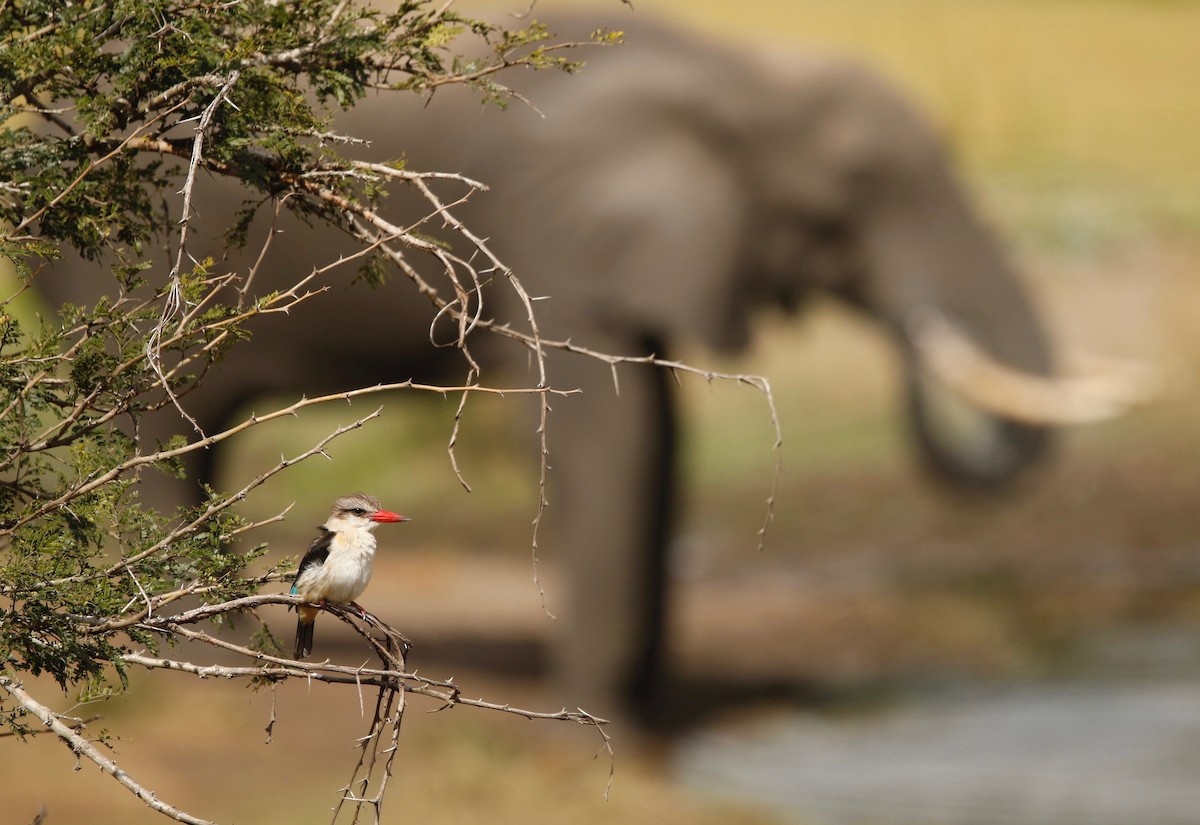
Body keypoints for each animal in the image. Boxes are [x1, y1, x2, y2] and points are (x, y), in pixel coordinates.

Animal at [35, 16, 1089, 729]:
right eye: (852, 190)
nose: (914, 324)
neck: (735, 64)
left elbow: (652, 437)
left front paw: (638, 721)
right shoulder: (550, 238)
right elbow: (604, 438)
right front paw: (601, 732)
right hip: (129, 267)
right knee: (159, 433)